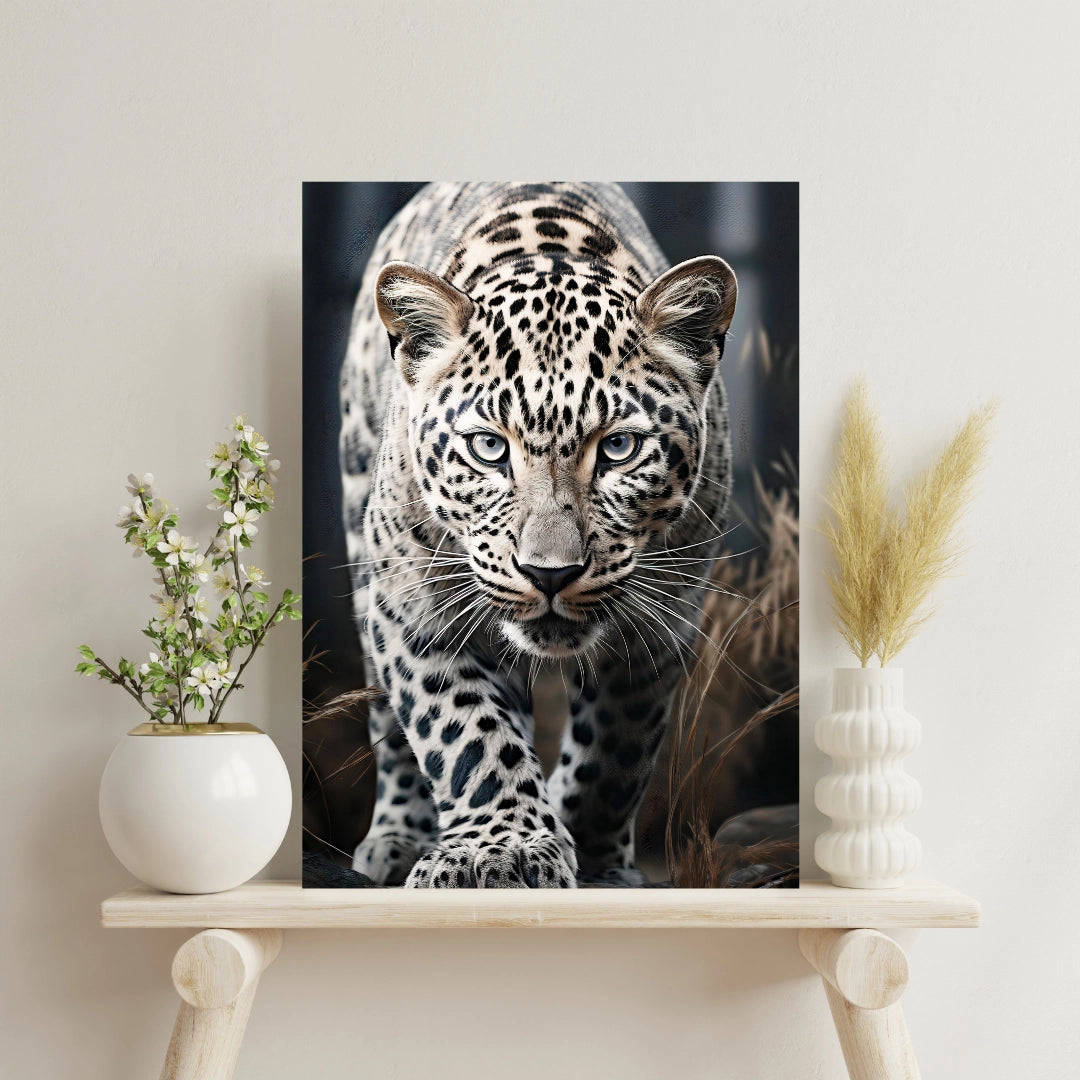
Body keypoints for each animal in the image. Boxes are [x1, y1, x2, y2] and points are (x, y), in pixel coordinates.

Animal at [338, 182, 736, 888]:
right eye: (489, 448)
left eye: (620, 448)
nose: (550, 573)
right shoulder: (412, 614)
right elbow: (465, 734)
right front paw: (501, 852)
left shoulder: (662, 626)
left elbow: (616, 754)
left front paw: (597, 863)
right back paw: (397, 837)